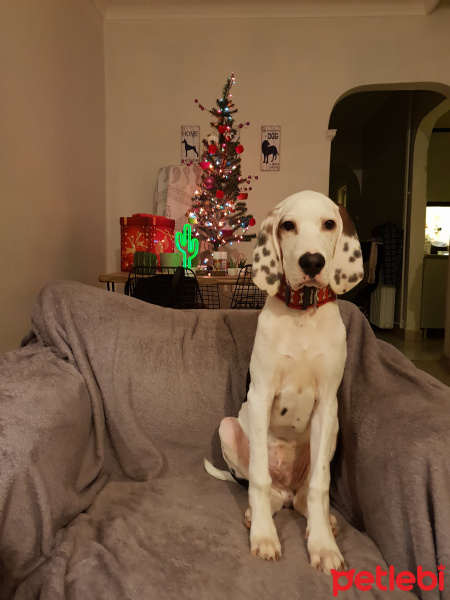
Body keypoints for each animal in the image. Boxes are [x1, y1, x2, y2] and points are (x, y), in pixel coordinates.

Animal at [206, 191, 364, 572]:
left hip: (334, 429)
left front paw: (323, 546)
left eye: (329, 223)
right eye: (288, 225)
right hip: (228, 427)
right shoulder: (261, 396)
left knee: (307, 497)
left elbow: (321, 486)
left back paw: (325, 521)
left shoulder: (327, 406)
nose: (312, 262)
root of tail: (290, 493)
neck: (302, 314)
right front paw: (264, 536)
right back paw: (256, 516)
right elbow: (260, 481)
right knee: (267, 491)